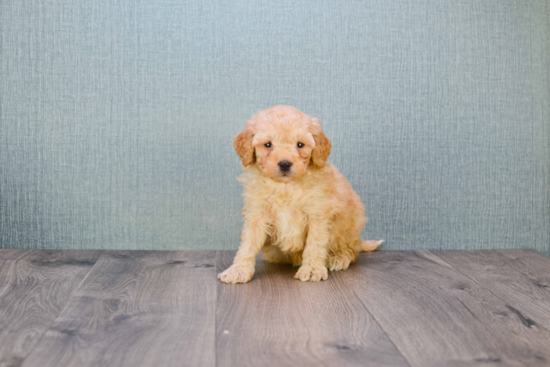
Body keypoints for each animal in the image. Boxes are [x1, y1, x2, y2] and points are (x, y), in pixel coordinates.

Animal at [218, 106, 382, 284]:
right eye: (267, 144)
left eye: (300, 145)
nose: (284, 164)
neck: (286, 186)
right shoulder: (257, 213)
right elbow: (248, 243)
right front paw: (238, 270)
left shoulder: (317, 214)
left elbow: (315, 244)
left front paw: (311, 270)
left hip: (350, 224)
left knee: (352, 249)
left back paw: (339, 258)